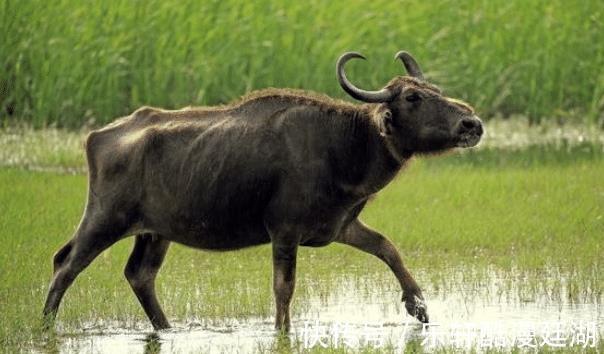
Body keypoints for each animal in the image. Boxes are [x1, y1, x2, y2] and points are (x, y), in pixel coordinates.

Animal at [43, 50, 482, 332]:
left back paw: (167, 329)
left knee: (139, 275)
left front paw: (418, 306)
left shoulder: (340, 226)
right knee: (66, 265)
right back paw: (46, 327)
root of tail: (97, 137)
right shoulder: (284, 231)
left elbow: (388, 248)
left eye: (434, 89)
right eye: (412, 97)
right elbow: (284, 287)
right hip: (105, 220)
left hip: (154, 233)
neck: (345, 145)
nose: (472, 124)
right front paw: (282, 331)